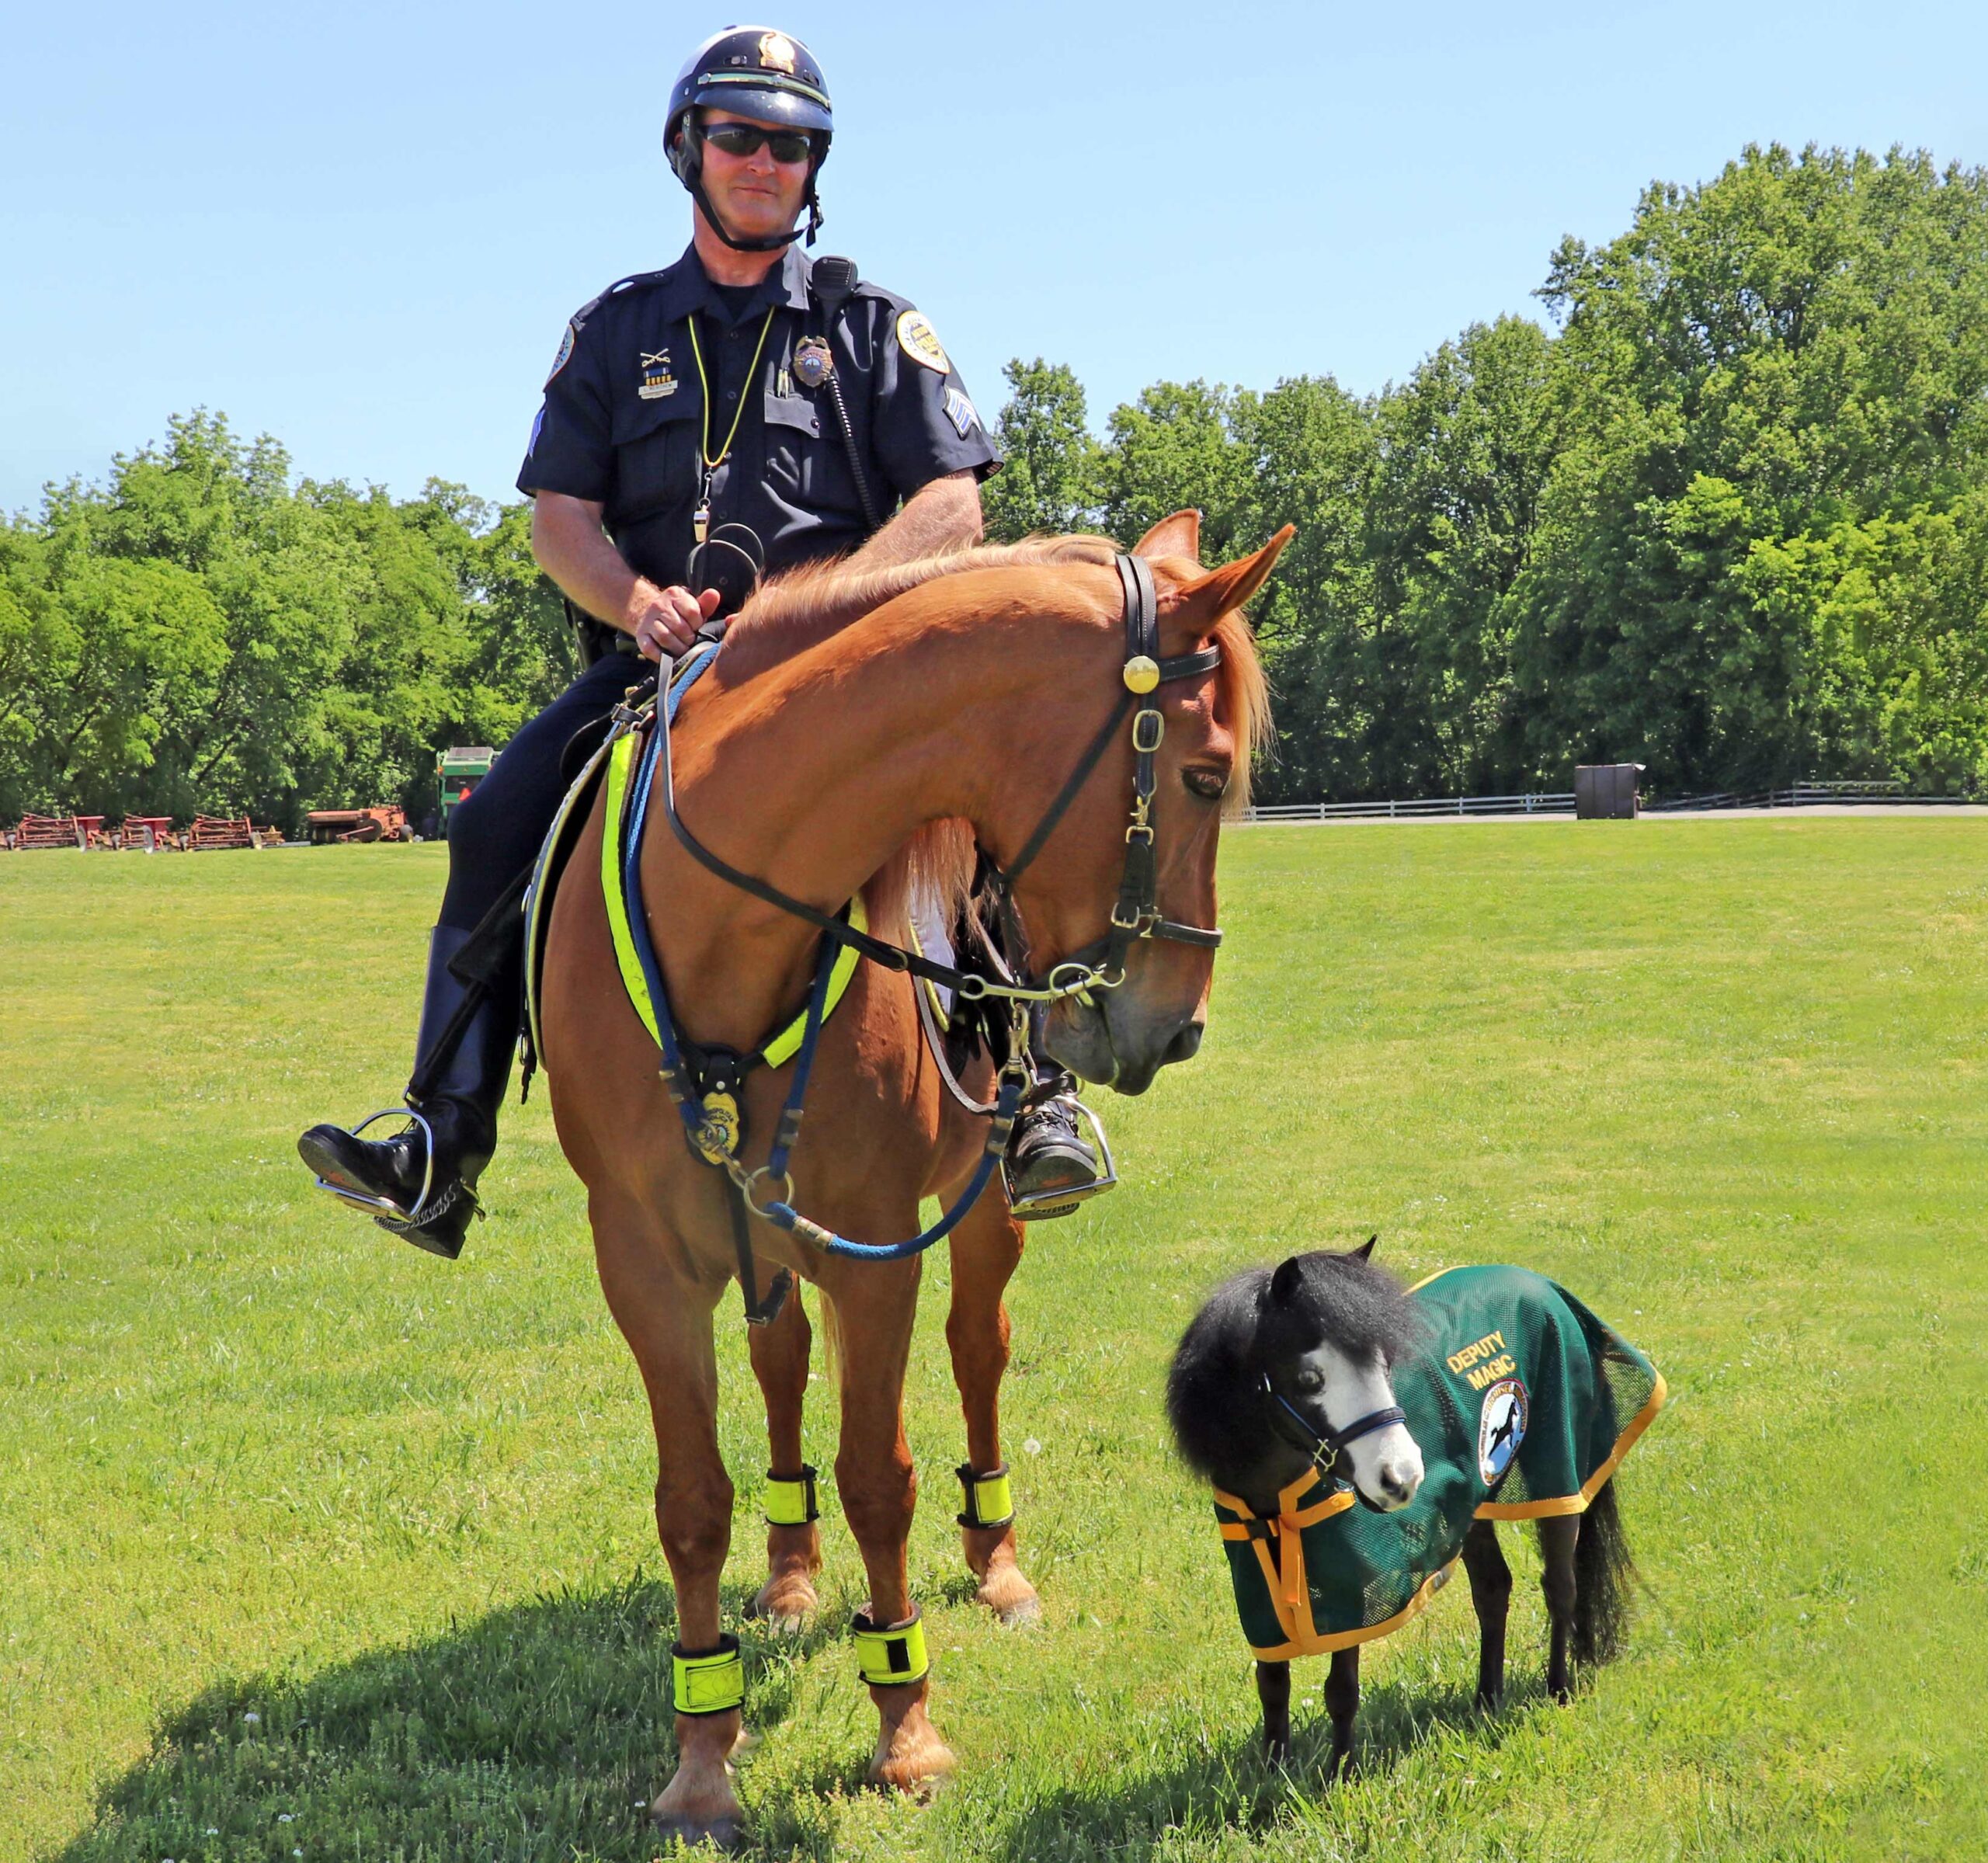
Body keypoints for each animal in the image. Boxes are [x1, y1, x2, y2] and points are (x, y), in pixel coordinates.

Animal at [544, 509, 1288, 1844]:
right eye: (1205, 775)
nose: (1179, 1025)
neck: (723, 933)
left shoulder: (873, 1245)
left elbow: (880, 1476)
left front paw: (905, 1727)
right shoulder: (644, 1259)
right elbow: (693, 1497)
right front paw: (702, 1758)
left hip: (972, 1213)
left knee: (978, 1350)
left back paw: (996, 1560)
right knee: (781, 1363)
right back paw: (790, 1571)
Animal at [1161, 1240, 1662, 1765]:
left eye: (1385, 1366)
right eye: (1310, 1378)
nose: (1403, 1477)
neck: (1276, 1499)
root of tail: (1543, 1284)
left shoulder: (1353, 1587)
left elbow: (1341, 1688)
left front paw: (1340, 1773)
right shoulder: (1257, 1585)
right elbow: (1273, 1684)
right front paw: (1272, 1776)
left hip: (1557, 1480)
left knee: (1560, 1588)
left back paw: (1557, 1691)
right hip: (1472, 1507)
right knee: (1493, 1590)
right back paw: (1487, 1700)